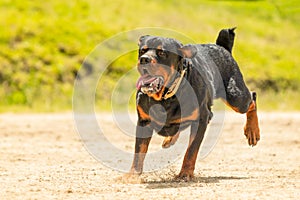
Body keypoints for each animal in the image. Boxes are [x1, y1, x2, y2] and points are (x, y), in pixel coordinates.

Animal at [130, 27, 258, 180]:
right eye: (142, 51)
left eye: (162, 53)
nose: (144, 59)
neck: (165, 96)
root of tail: (222, 47)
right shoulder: (144, 121)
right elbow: (139, 151)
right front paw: (132, 175)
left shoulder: (201, 119)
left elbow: (191, 150)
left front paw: (185, 173)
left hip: (235, 96)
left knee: (252, 98)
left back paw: (252, 131)